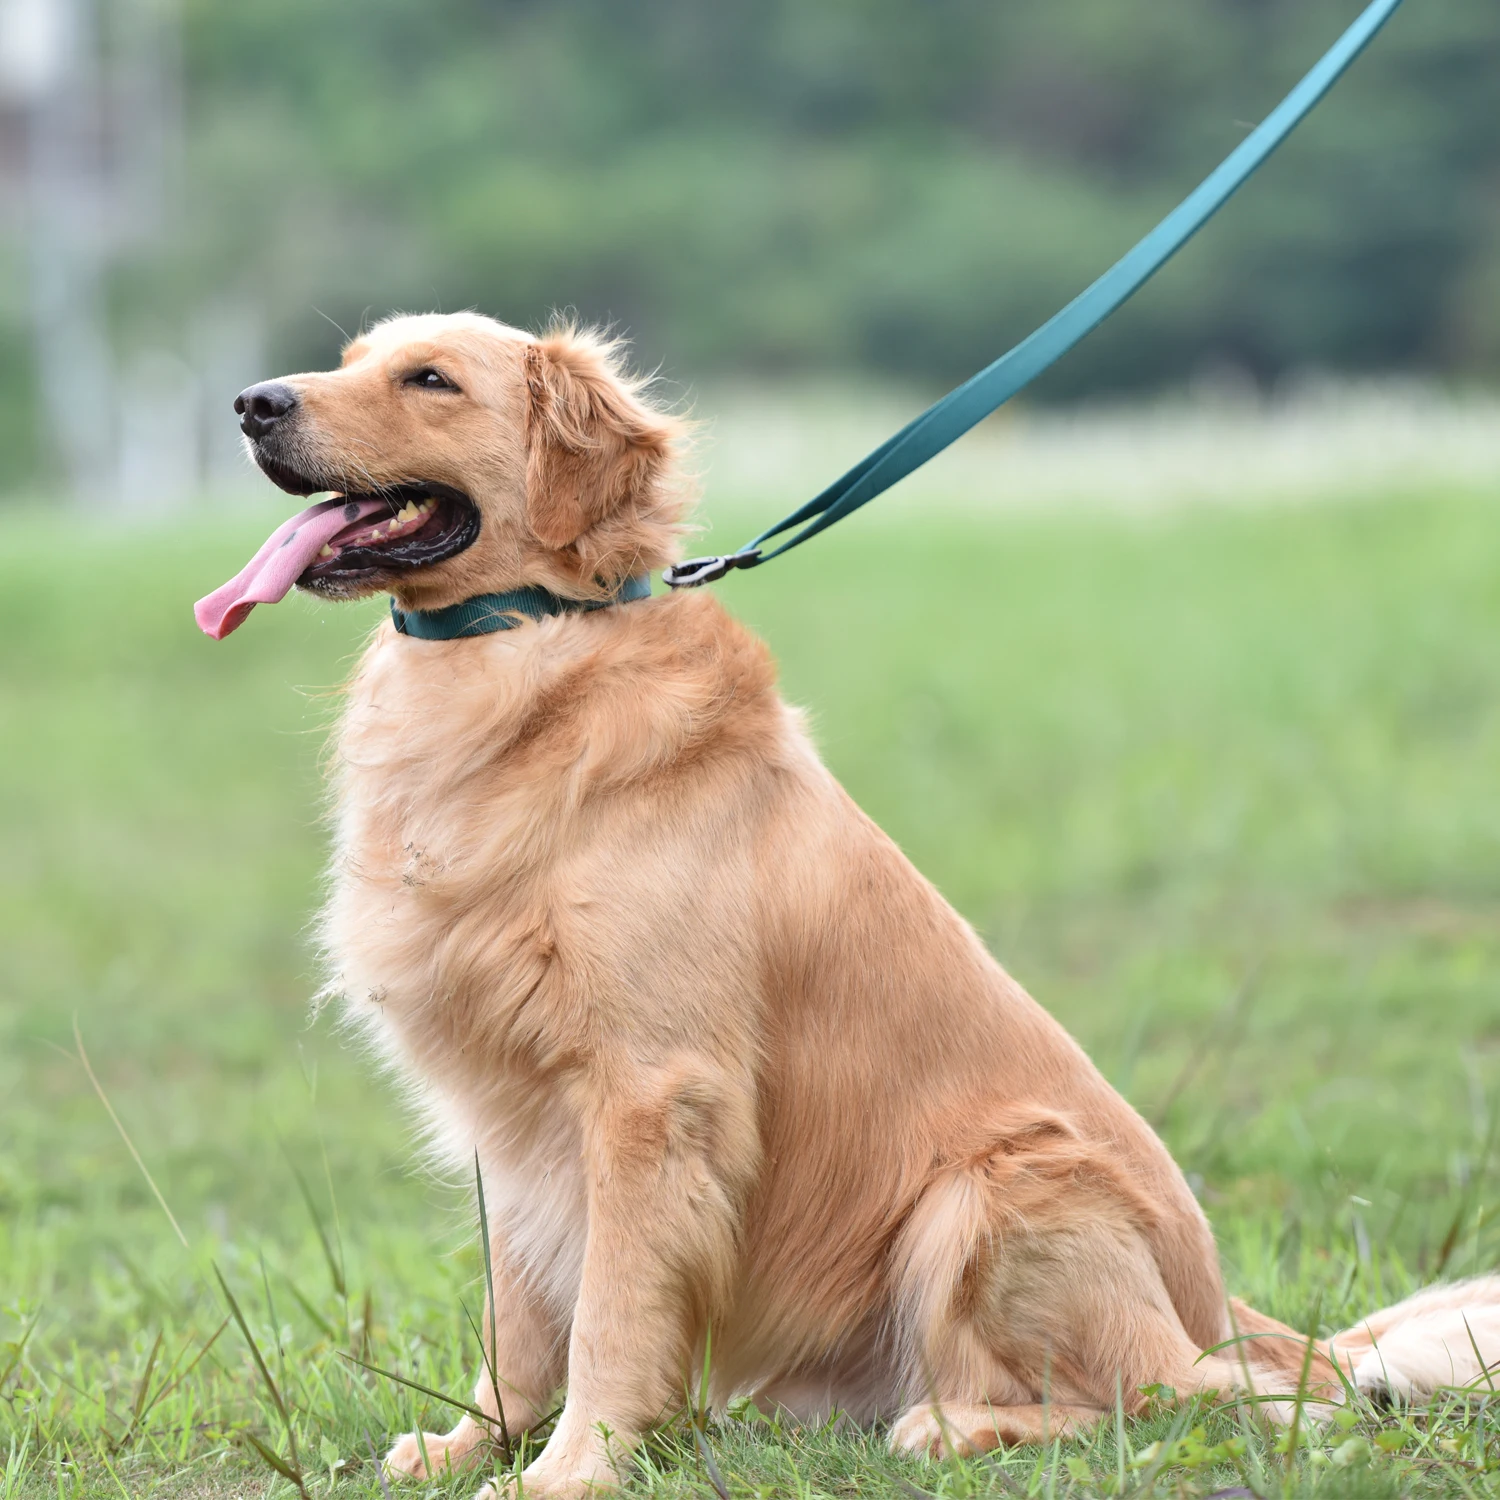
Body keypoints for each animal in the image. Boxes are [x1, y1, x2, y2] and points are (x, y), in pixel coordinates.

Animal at [196, 310, 1500, 1494]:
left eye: (430, 379)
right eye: (351, 358)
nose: (251, 403)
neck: (527, 649)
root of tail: (1224, 1307)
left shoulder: (654, 1094)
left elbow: (610, 1312)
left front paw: (573, 1470)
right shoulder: (512, 1118)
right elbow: (517, 1320)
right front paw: (478, 1445)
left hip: (993, 1188)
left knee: (1190, 1398)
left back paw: (953, 1427)